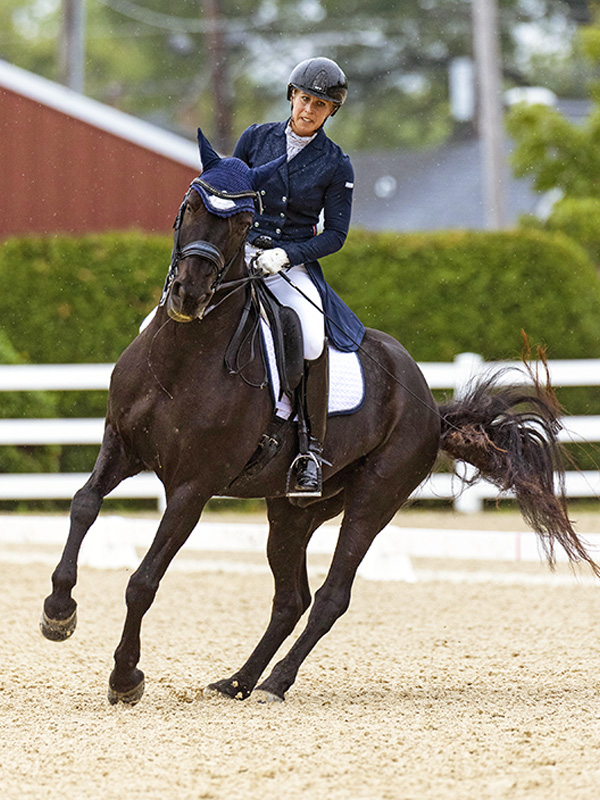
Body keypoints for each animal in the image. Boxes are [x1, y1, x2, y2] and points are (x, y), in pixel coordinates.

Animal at [40, 157, 600, 706]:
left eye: (243, 223)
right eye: (191, 204)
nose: (189, 295)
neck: (180, 358)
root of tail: (428, 407)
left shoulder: (192, 488)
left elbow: (144, 580)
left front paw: (125, 677)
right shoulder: (120, 446)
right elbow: (84, 504)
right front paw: (58, 612)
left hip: (373, 498)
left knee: (331, 596)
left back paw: (275, 683)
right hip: (293, 509)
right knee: (291, 598)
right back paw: (239, 682)